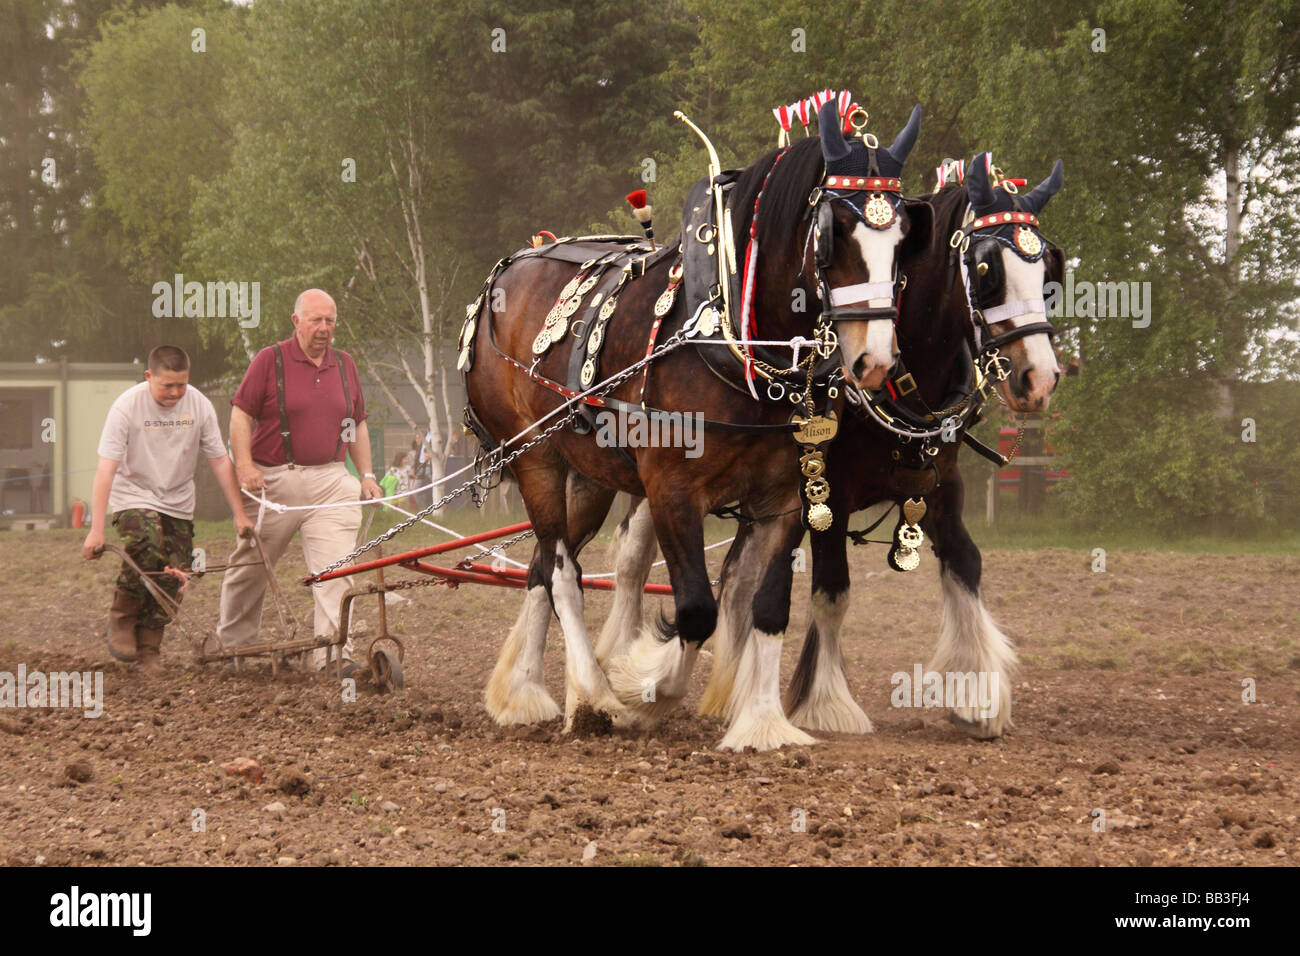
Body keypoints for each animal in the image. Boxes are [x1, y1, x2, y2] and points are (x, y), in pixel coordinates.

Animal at [465, 102, 925, 749]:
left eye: (904, 236)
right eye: (834, 231)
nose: (876, 361)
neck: (735, 342)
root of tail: (507, 272)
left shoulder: (788, 499)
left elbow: (769, 608)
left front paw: (762, 723)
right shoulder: (672, 491)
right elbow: (696, 610)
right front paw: (640, 690)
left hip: (589, 475)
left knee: (541, 566)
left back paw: (526, 693)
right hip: (532, 455)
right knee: (560, 569)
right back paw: (593, 695)